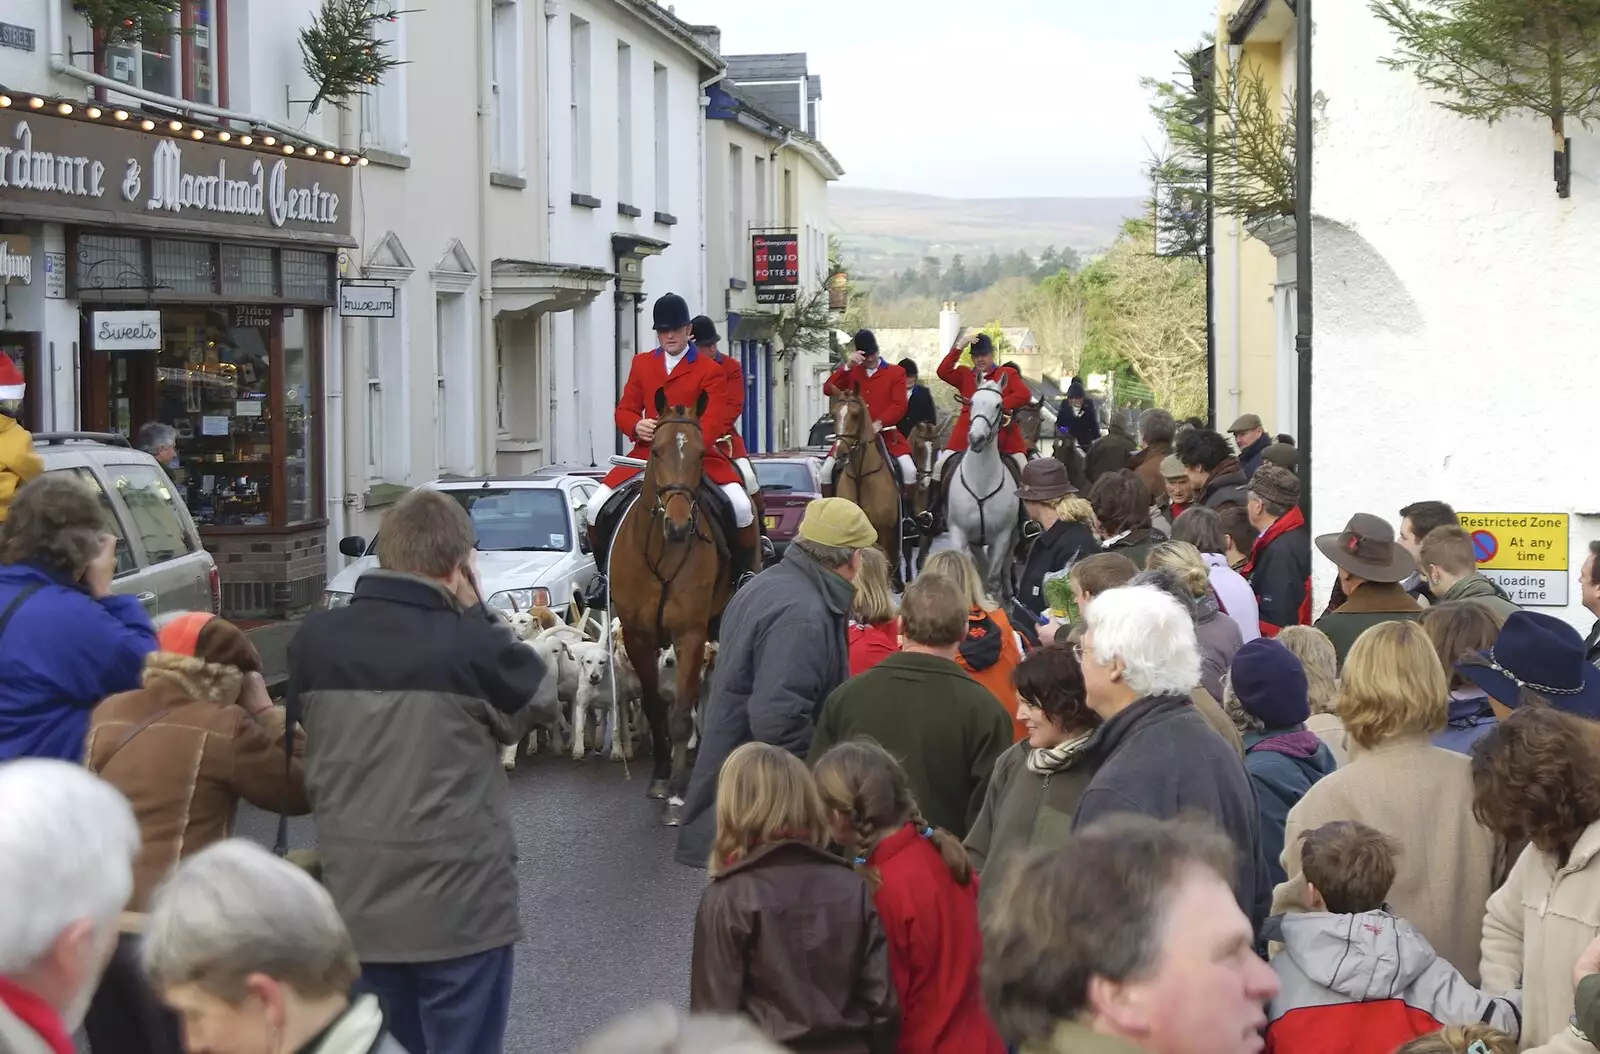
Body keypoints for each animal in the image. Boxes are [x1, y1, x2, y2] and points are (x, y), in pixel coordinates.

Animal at [608, 387, 732, 825]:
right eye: (656, 450)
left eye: (700, 453)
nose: (678, 527)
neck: (662, 550)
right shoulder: (638, 635)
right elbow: (654, 707)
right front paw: (661, 777)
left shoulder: (690, 634)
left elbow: (679, 714)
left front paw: (678, 792)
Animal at [940, 380, 1017, 601]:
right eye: (972, 401)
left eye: (998, 405)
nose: (977, 439)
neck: (981, 482)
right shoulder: (959, 532)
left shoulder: (1002, 537)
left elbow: (993, 578)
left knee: (1005, 562)